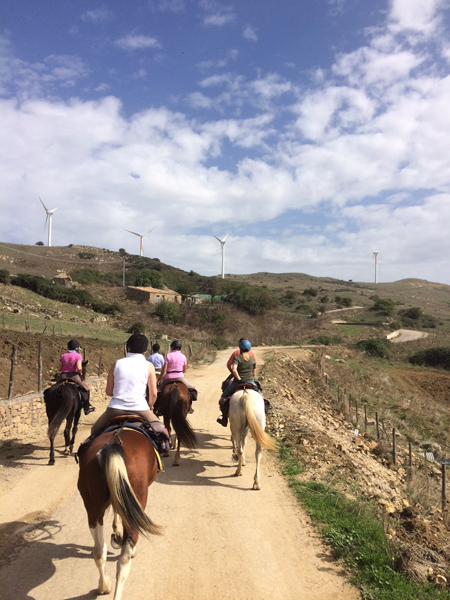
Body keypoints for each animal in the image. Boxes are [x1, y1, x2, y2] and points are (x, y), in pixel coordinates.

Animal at [78, 426, 162, 600]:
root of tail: (113, 447)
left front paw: (116, 532)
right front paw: (118, 533)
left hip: (92, 507)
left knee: (99, 551)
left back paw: (103, 586)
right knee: (124, 559)